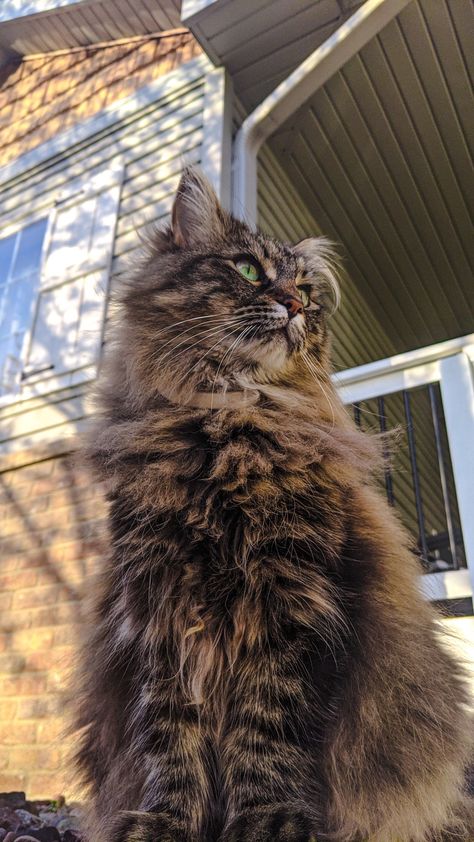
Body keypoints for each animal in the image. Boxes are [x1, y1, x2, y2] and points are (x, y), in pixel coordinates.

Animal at [72, 167, 472, 836]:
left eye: (307, 291)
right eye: (249, 270)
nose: (296, 306)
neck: (228, 428)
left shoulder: (293, 603)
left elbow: (267, 730)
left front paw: (271, 818)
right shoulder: (159, 610)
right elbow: (170, 738)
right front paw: (166, 822)